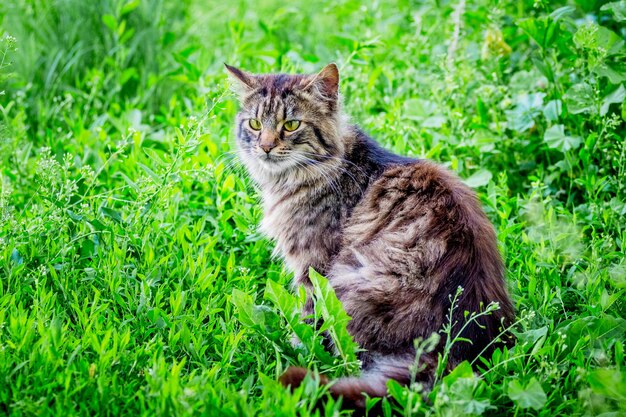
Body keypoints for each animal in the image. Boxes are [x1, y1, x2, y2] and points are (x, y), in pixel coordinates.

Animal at [224, 62, 512, 410]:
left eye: (291, 125)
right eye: (254, 124)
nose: (265, 147)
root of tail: (453, 349)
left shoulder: (313, 267)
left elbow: (307, 322)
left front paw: (294, 347)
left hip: (348, 278)